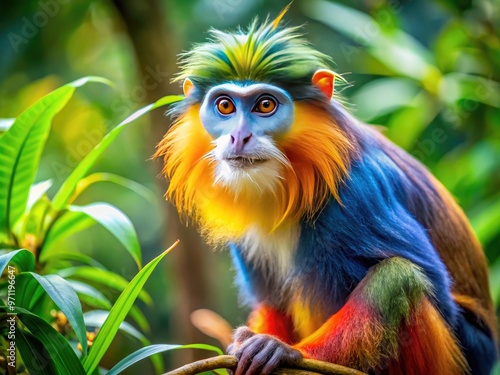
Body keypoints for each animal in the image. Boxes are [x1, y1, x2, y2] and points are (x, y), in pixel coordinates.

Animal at [154, 10, 498, 375]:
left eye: (265, 105)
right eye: (224, 106)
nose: (239, 136)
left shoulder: (359, 192)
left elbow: (436, 295)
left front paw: (282, 351)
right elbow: (270, 301)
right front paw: (247, 345)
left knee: (399, 278)